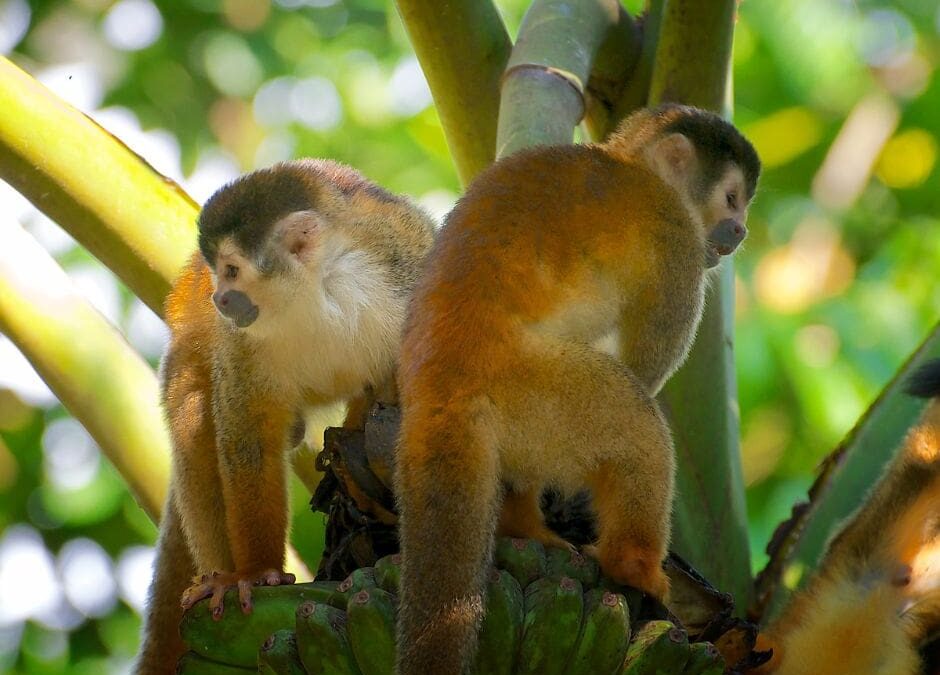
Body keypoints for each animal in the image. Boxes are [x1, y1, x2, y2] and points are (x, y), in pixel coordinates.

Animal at [132, 161, 434, 672]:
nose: (218, 298)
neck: (318, 290)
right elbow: (247, 441)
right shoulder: (241, 341)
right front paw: (255, 572)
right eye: (217, 273)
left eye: (232, 270)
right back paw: (217, 576)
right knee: (196, 416)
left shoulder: (406, 269)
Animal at [392, 105, 760, 675]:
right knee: (636, 419)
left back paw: (523, 524)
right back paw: (632, 565)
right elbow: (645, 365)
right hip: (534, 388)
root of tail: (437, 390)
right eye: (731, 198)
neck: (637, 170)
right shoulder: (677, 236)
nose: (739, 230)